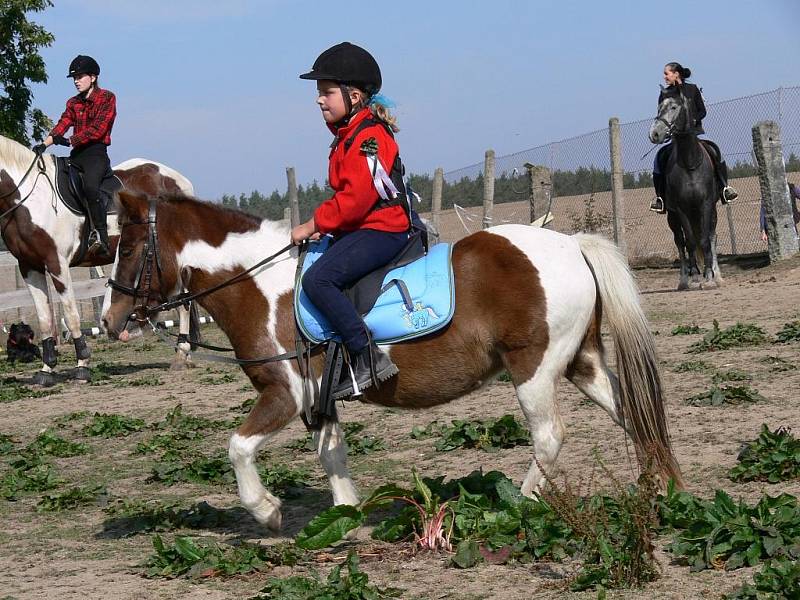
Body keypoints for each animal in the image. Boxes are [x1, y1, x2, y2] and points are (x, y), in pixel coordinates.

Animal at [0, 134, 195, 386]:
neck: (29, 197)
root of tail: (178, 180)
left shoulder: (56, 263)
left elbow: (71, 315)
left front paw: (82, 365)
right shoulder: (29, 267)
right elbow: (44, 319)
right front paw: (46, 370)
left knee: (184, 303)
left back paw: (181, 353)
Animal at [103, 191, 684, 528]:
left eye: (127, 249)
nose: (111, 320)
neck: (261, 287)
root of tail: (571, 244)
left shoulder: (285, 395)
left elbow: (238, 447)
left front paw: (266, 512)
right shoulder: (319, 400)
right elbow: (332, 456)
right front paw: (346, 517)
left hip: (534, 367)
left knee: (549, 435)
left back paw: (520, 503)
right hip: (580, 361)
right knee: (633, 411)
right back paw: (659, 488)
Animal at [648, 94, 720, 290]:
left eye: (674, 107)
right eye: (659, 108)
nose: (654, 134)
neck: (690, 163)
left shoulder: (706, 205)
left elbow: (705, 240)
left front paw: (710, 277)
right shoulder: (681, 209)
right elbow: (690, 242)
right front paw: (695, 277)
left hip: (711, 212)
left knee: (712, 236)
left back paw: (717, 274)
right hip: (672, 217)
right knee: (680, 243)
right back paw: (683, 280)